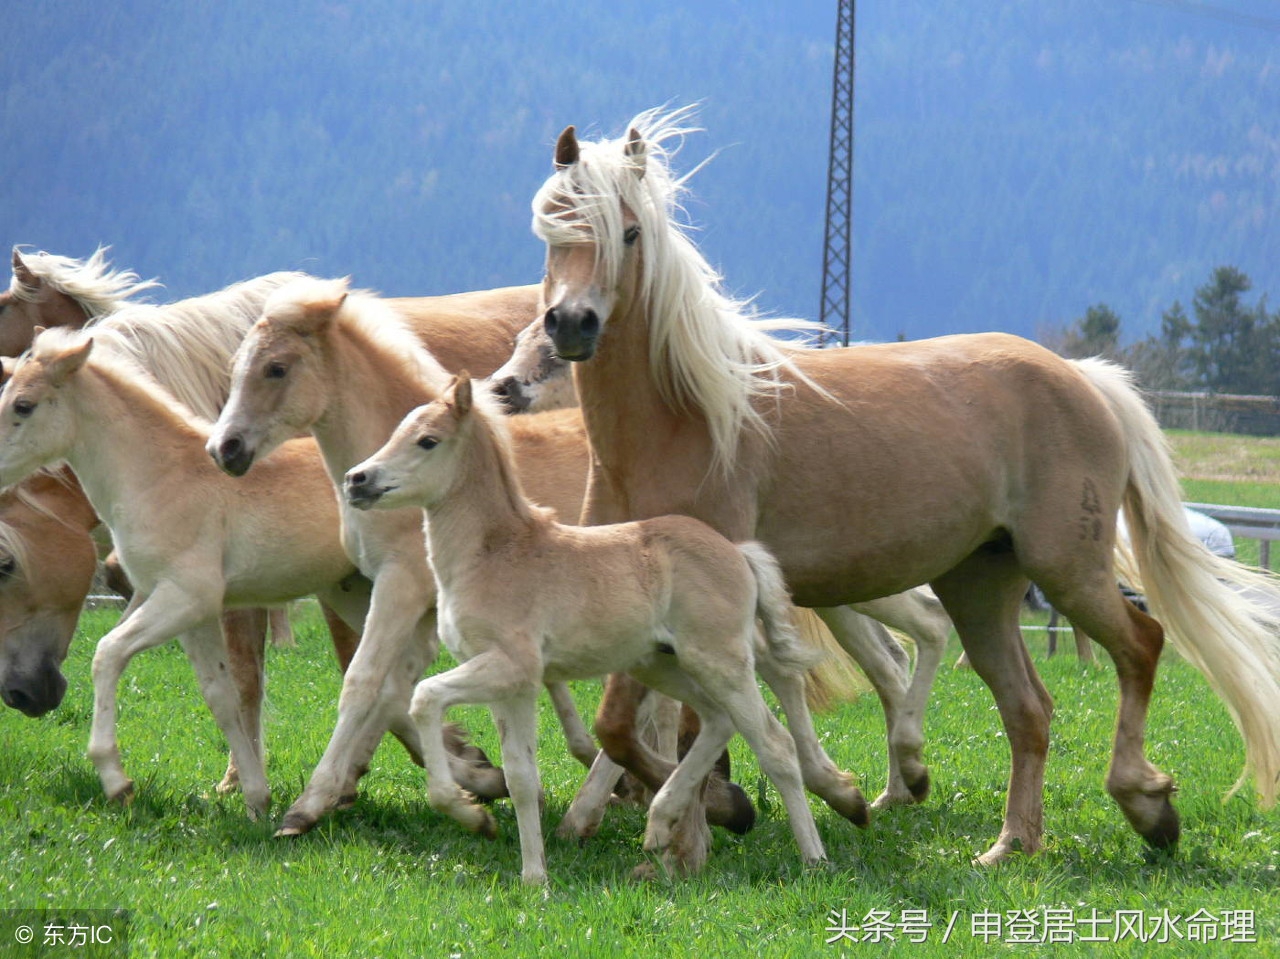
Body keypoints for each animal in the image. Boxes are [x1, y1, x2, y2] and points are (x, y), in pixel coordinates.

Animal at [345, 374, 827, 882]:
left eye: (427, 440)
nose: (357, 480)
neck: (493, 554)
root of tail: (739, 552)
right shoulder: (510, 686)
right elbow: (521, 777)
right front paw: (533, 876)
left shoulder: (510, 667)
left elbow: (424, 697)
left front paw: (466, 812)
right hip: (661, 666)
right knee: (718, 722)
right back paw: (660, 824)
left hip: (720, 661)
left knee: (774, 744)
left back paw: (813, 857)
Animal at [530, 107, 1280, 868]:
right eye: (551, 226)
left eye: (628, 232)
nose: (571, 324)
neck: (681, 419)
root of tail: (1082, 375)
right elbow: (621, 725)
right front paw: (707, 825)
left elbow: (686, 729)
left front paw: (730, 814)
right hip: (981, 585)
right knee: (1028, 707)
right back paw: (1009, 843)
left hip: (1067, 568)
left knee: (1140, 644)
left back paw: (1146, 803)